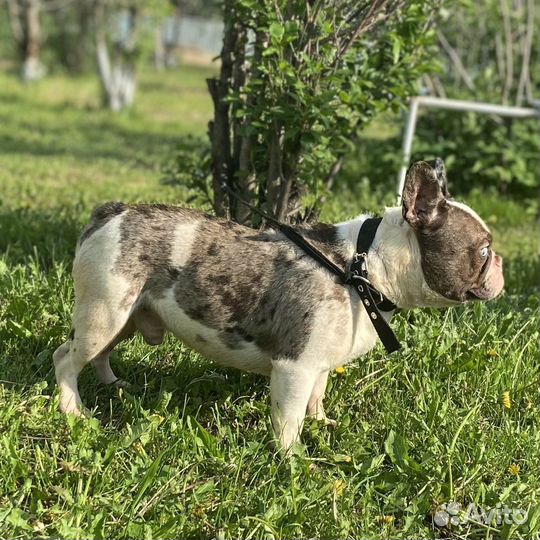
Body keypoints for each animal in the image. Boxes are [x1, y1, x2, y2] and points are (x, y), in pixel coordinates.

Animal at [52, 159, 504, 452]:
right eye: (483, 251)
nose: (501, 262)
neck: (362, 268)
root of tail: (112, 213)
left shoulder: (318, 364)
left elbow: (317, 397)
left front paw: (322, 423)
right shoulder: (295, 368)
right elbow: (290, 419)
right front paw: (292, 460)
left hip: (124, 316)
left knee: (100, 354)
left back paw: (112, 384)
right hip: (103, 314)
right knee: (66, 357)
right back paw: (73, 410)